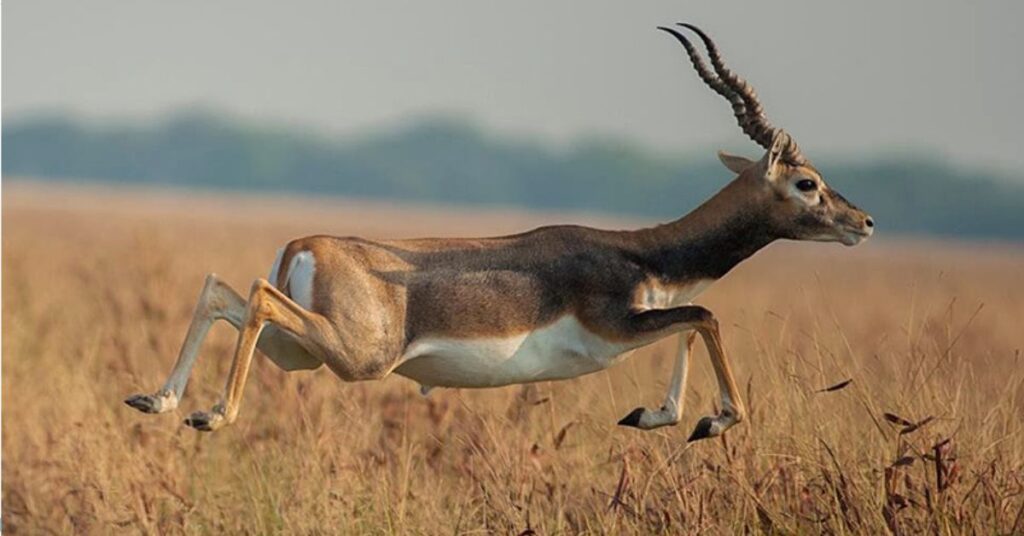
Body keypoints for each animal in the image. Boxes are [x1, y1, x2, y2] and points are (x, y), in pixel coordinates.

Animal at [121, 24, 872, 440]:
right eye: (807, 183)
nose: (863, 222)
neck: (641, 253)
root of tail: (306, 245)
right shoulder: (617, 328)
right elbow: (705, 316)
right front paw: (713, 422)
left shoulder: (642, 323)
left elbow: (690, 322)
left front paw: (656, 418)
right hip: (355, 356)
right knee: (250, 291)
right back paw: (210, 416)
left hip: (300, 352)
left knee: (224, 289)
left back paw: (158, 400)